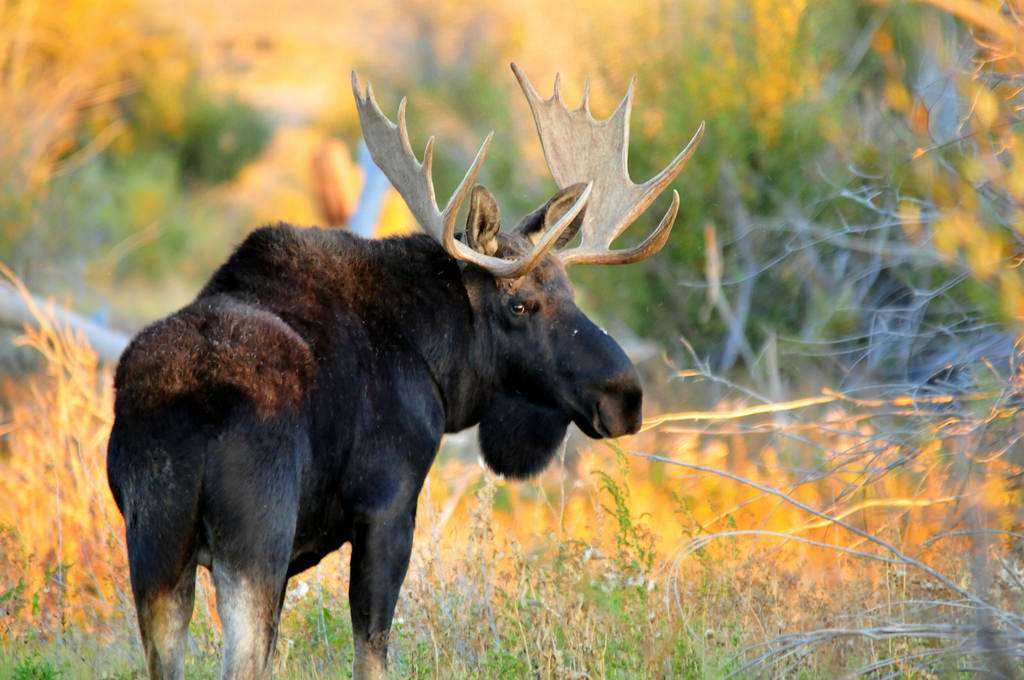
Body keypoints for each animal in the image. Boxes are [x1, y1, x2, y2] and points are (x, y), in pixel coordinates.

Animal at [106, 63, 703, 679]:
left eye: (570, 292)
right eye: (521, 305)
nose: (625, 396)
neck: (438, 362)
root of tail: (191, 402)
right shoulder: (389, 508)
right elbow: (372, 651)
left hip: (155, 546)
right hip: (253, 543)